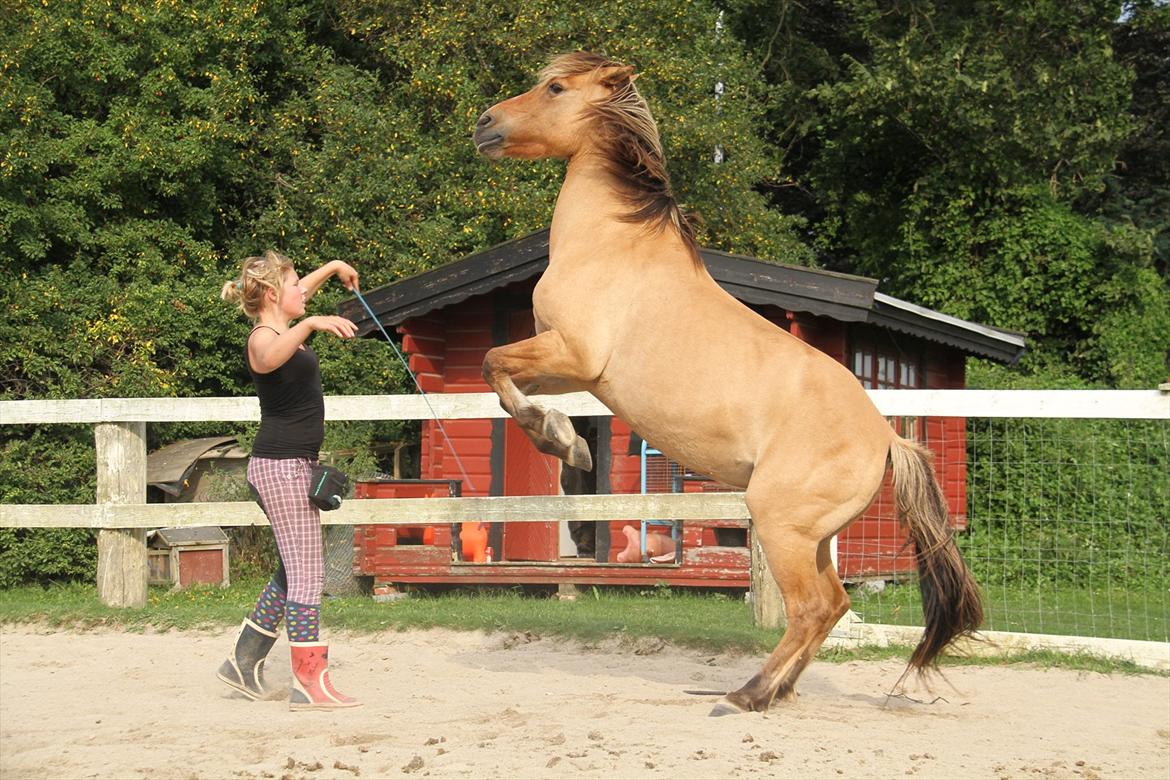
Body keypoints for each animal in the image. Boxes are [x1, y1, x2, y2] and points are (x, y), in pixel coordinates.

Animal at [470, 51, 982, 715]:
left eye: (555, 87)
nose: (484, 124)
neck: (611, 245)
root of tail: (887, 440)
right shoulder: (566, 370)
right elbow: (504, 382)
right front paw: (567, 440)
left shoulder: (575, 355)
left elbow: (492, 364)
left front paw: (564, 443)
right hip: (812, 536)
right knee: (833, 606)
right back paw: (774, 691)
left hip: (780, 523)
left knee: (810, 607)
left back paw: (745, 695)